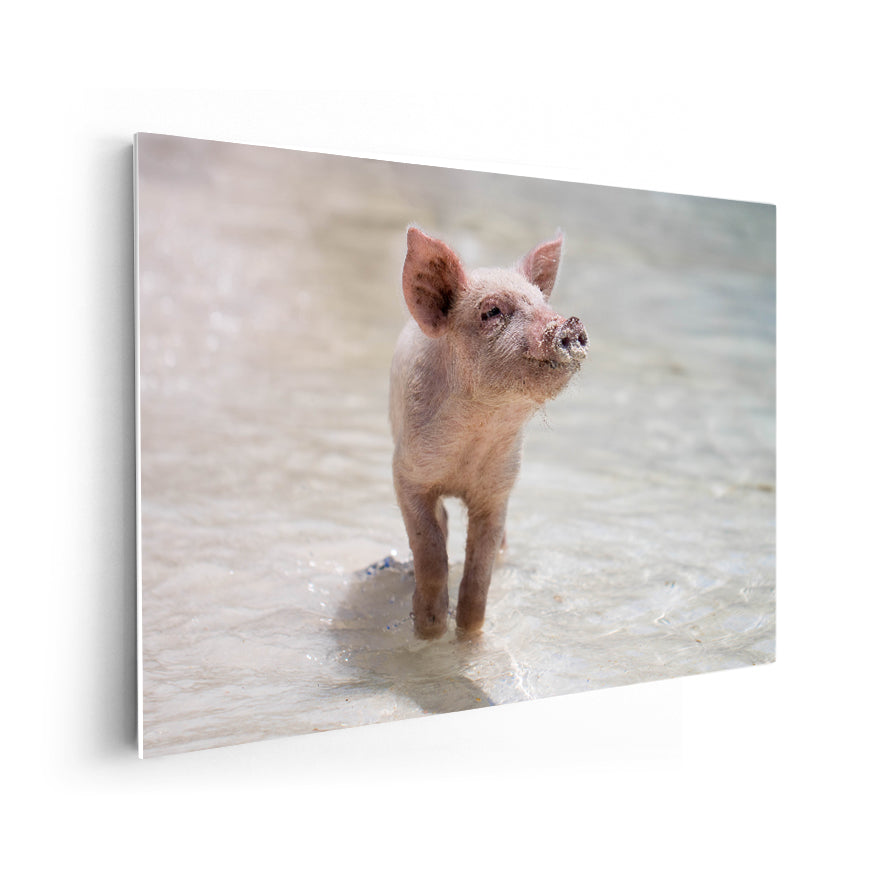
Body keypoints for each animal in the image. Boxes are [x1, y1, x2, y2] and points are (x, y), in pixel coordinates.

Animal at [390, 227, 588, 638]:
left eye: (541, 302)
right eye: (492, 312)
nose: (571, 324)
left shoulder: (498, 489)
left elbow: (480, 570)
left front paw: (468, 634)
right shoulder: (406, 473)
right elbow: (429, 550)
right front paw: (429, 630)